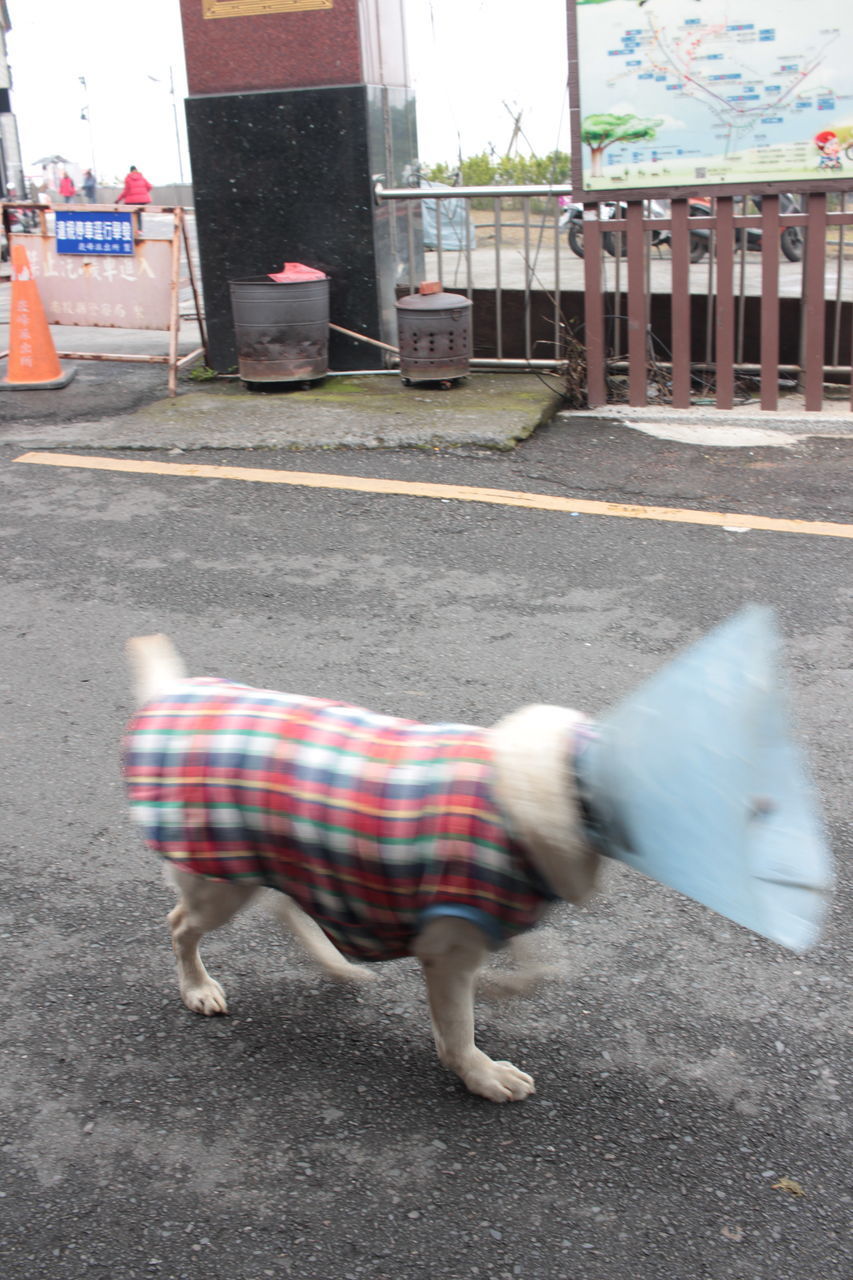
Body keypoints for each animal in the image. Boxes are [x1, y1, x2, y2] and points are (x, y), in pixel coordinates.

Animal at [122, 634, 596, 1105]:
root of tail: (172, 693)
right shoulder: (448, 948)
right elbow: (459, 1029)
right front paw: (482, 1074)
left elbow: (533, 962)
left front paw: (504, 985)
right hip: (221, 882)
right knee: (181, 925)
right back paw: (198, 988)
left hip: (284, 862)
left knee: (282, 905)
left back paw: (335, 963)